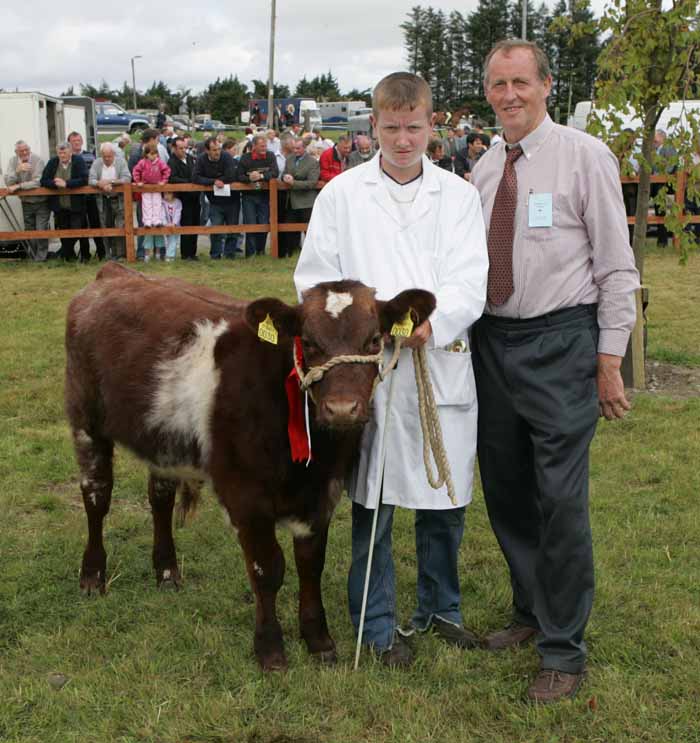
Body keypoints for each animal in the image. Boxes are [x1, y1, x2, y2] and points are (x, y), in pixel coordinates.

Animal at [67, 264, 438, 672]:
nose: (342, 409)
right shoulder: (245, 496)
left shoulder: (322, 494)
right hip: (86, 419)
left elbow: (311, 564)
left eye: (373, 340)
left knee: (160, 498)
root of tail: (114, 273)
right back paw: (92, 577)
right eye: (308, 343)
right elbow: (267, 568)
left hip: (161, 437)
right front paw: (270, 649)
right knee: (96, 496)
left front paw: (318, 640)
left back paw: (166, 572)